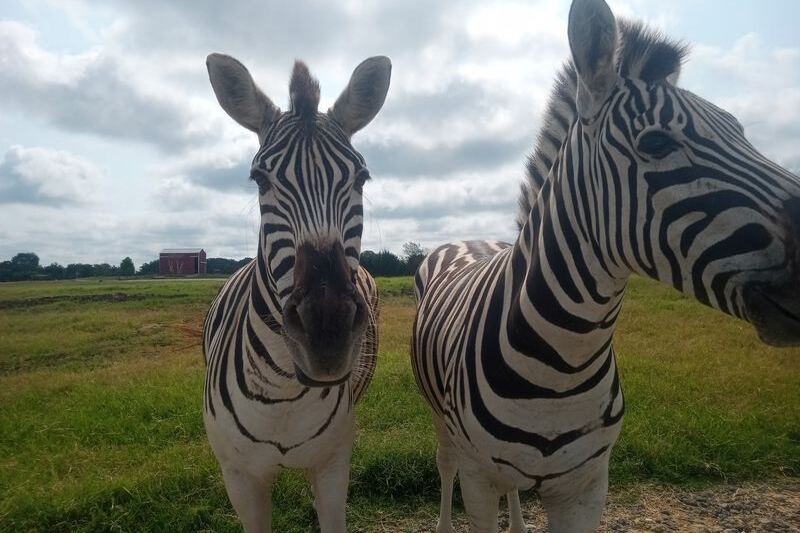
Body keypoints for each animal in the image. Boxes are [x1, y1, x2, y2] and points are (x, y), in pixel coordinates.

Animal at [202, 53, 390, 533]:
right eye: (259, 180)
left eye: (361, 179)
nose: (327, 332)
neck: (282, 394)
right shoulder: (239, 478)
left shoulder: (333, 465)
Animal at [411, 0, 800, 531]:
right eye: (655, 143)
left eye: (742, 133)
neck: (564, 362)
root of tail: (470, 242)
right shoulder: (479, 480)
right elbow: (466, 479)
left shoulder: (586, 485)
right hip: (443, 423)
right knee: (444, 462)